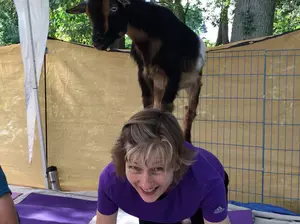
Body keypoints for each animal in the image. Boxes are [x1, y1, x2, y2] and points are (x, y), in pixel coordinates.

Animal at [65, 0, 206, 143]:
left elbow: (166, 108)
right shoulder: (143, 73)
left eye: (114, 7)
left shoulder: (173, 74)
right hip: (160, 85)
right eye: (88, 13)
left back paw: (187, 141)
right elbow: (149, 105)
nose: (97, 42)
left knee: (189, 113)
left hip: (194, 84)